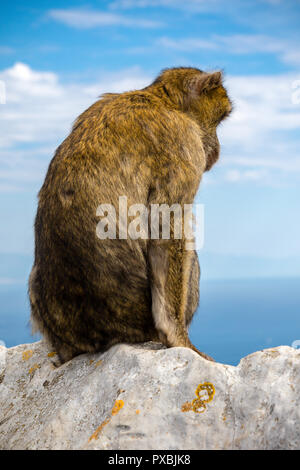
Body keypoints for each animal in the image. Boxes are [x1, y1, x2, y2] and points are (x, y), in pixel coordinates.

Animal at [28, 68, 232, 366]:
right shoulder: (184, 143)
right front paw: (179, 338)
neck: (162, 100)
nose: (217, 150)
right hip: (139, 322)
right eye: (219, 121)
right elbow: (166, 225)